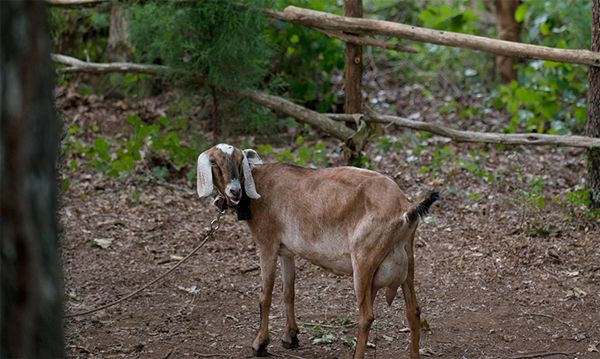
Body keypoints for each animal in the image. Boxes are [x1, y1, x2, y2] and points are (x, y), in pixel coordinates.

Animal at [199, 144, 438, 359]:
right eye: (214, 162)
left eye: (240, 160)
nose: (235, 191)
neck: (259, 186)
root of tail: (405, 208)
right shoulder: (286, 251)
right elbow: (289, 292)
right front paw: (291, 337)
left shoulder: (267, 243)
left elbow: (265, 295)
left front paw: (260, 344)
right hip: (408, 258)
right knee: (413, 311)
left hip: (364, 259)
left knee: (366, 316)